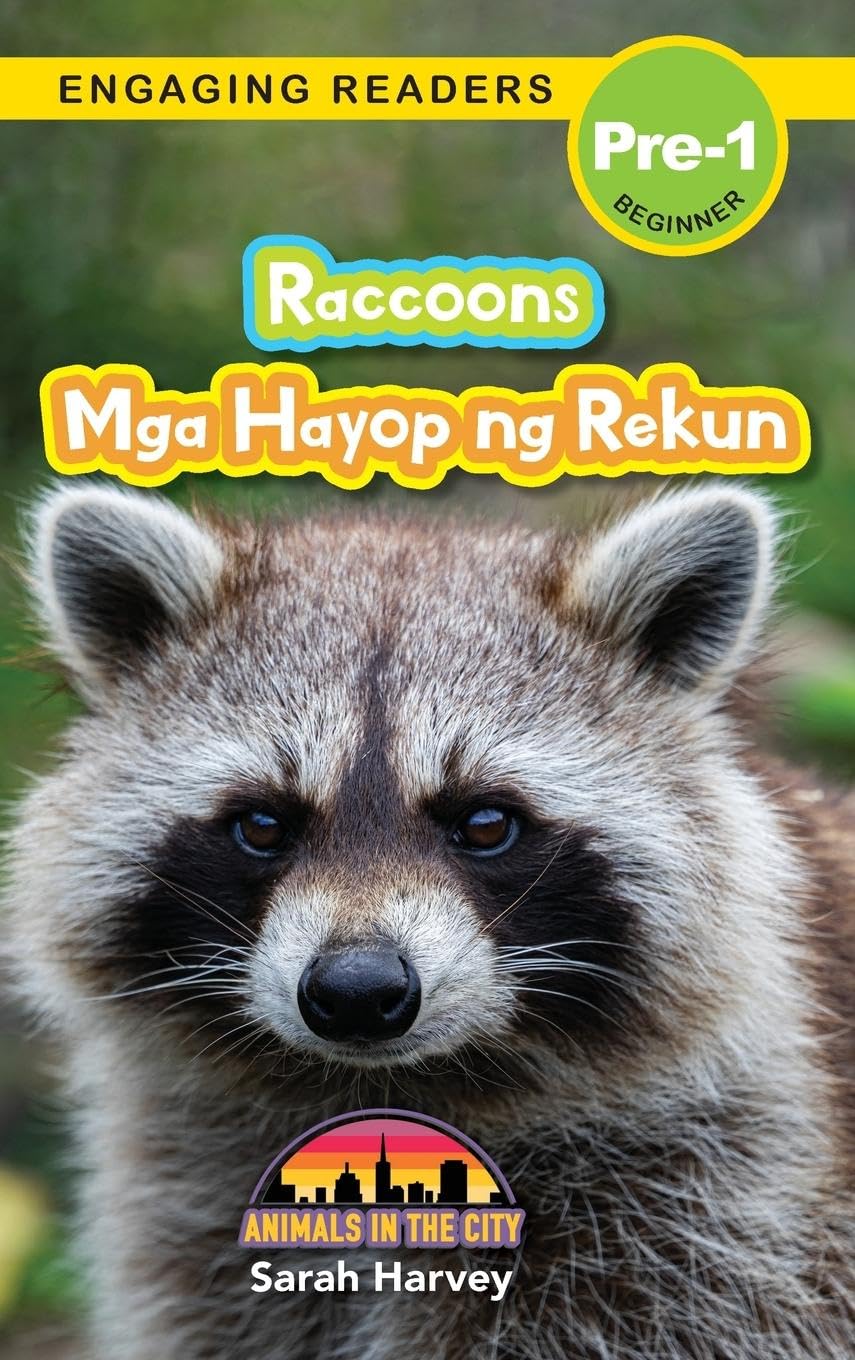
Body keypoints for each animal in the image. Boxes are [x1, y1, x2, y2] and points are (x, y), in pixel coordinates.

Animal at [5, 482, 853, 1360]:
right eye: (263, 825)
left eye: (484, 823)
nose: (356, 990)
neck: (385, 1090)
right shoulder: (197, 1219)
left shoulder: (713, 1218)